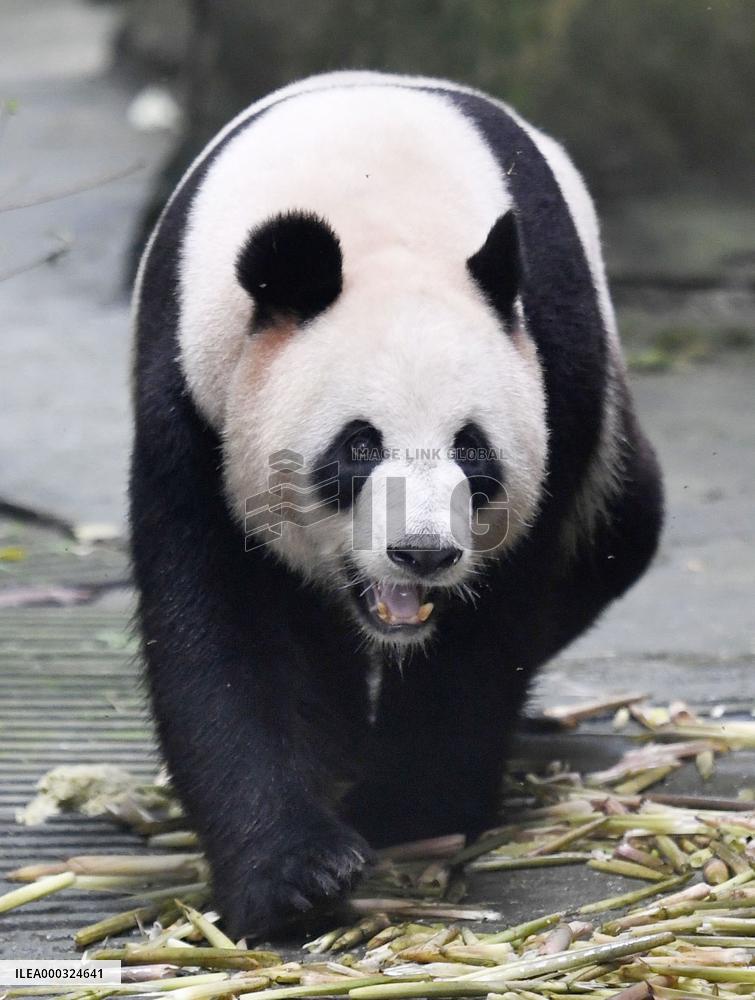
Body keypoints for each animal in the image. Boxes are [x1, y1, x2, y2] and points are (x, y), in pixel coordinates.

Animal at [130, 71, 663, 937]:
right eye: (358, 445)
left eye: (471, 447)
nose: (422, 554)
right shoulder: (191, 395)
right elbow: (219, 624)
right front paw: (297, 874)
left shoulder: (553, 365)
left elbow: (489, 626)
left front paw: (407, 811)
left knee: (620, 532)